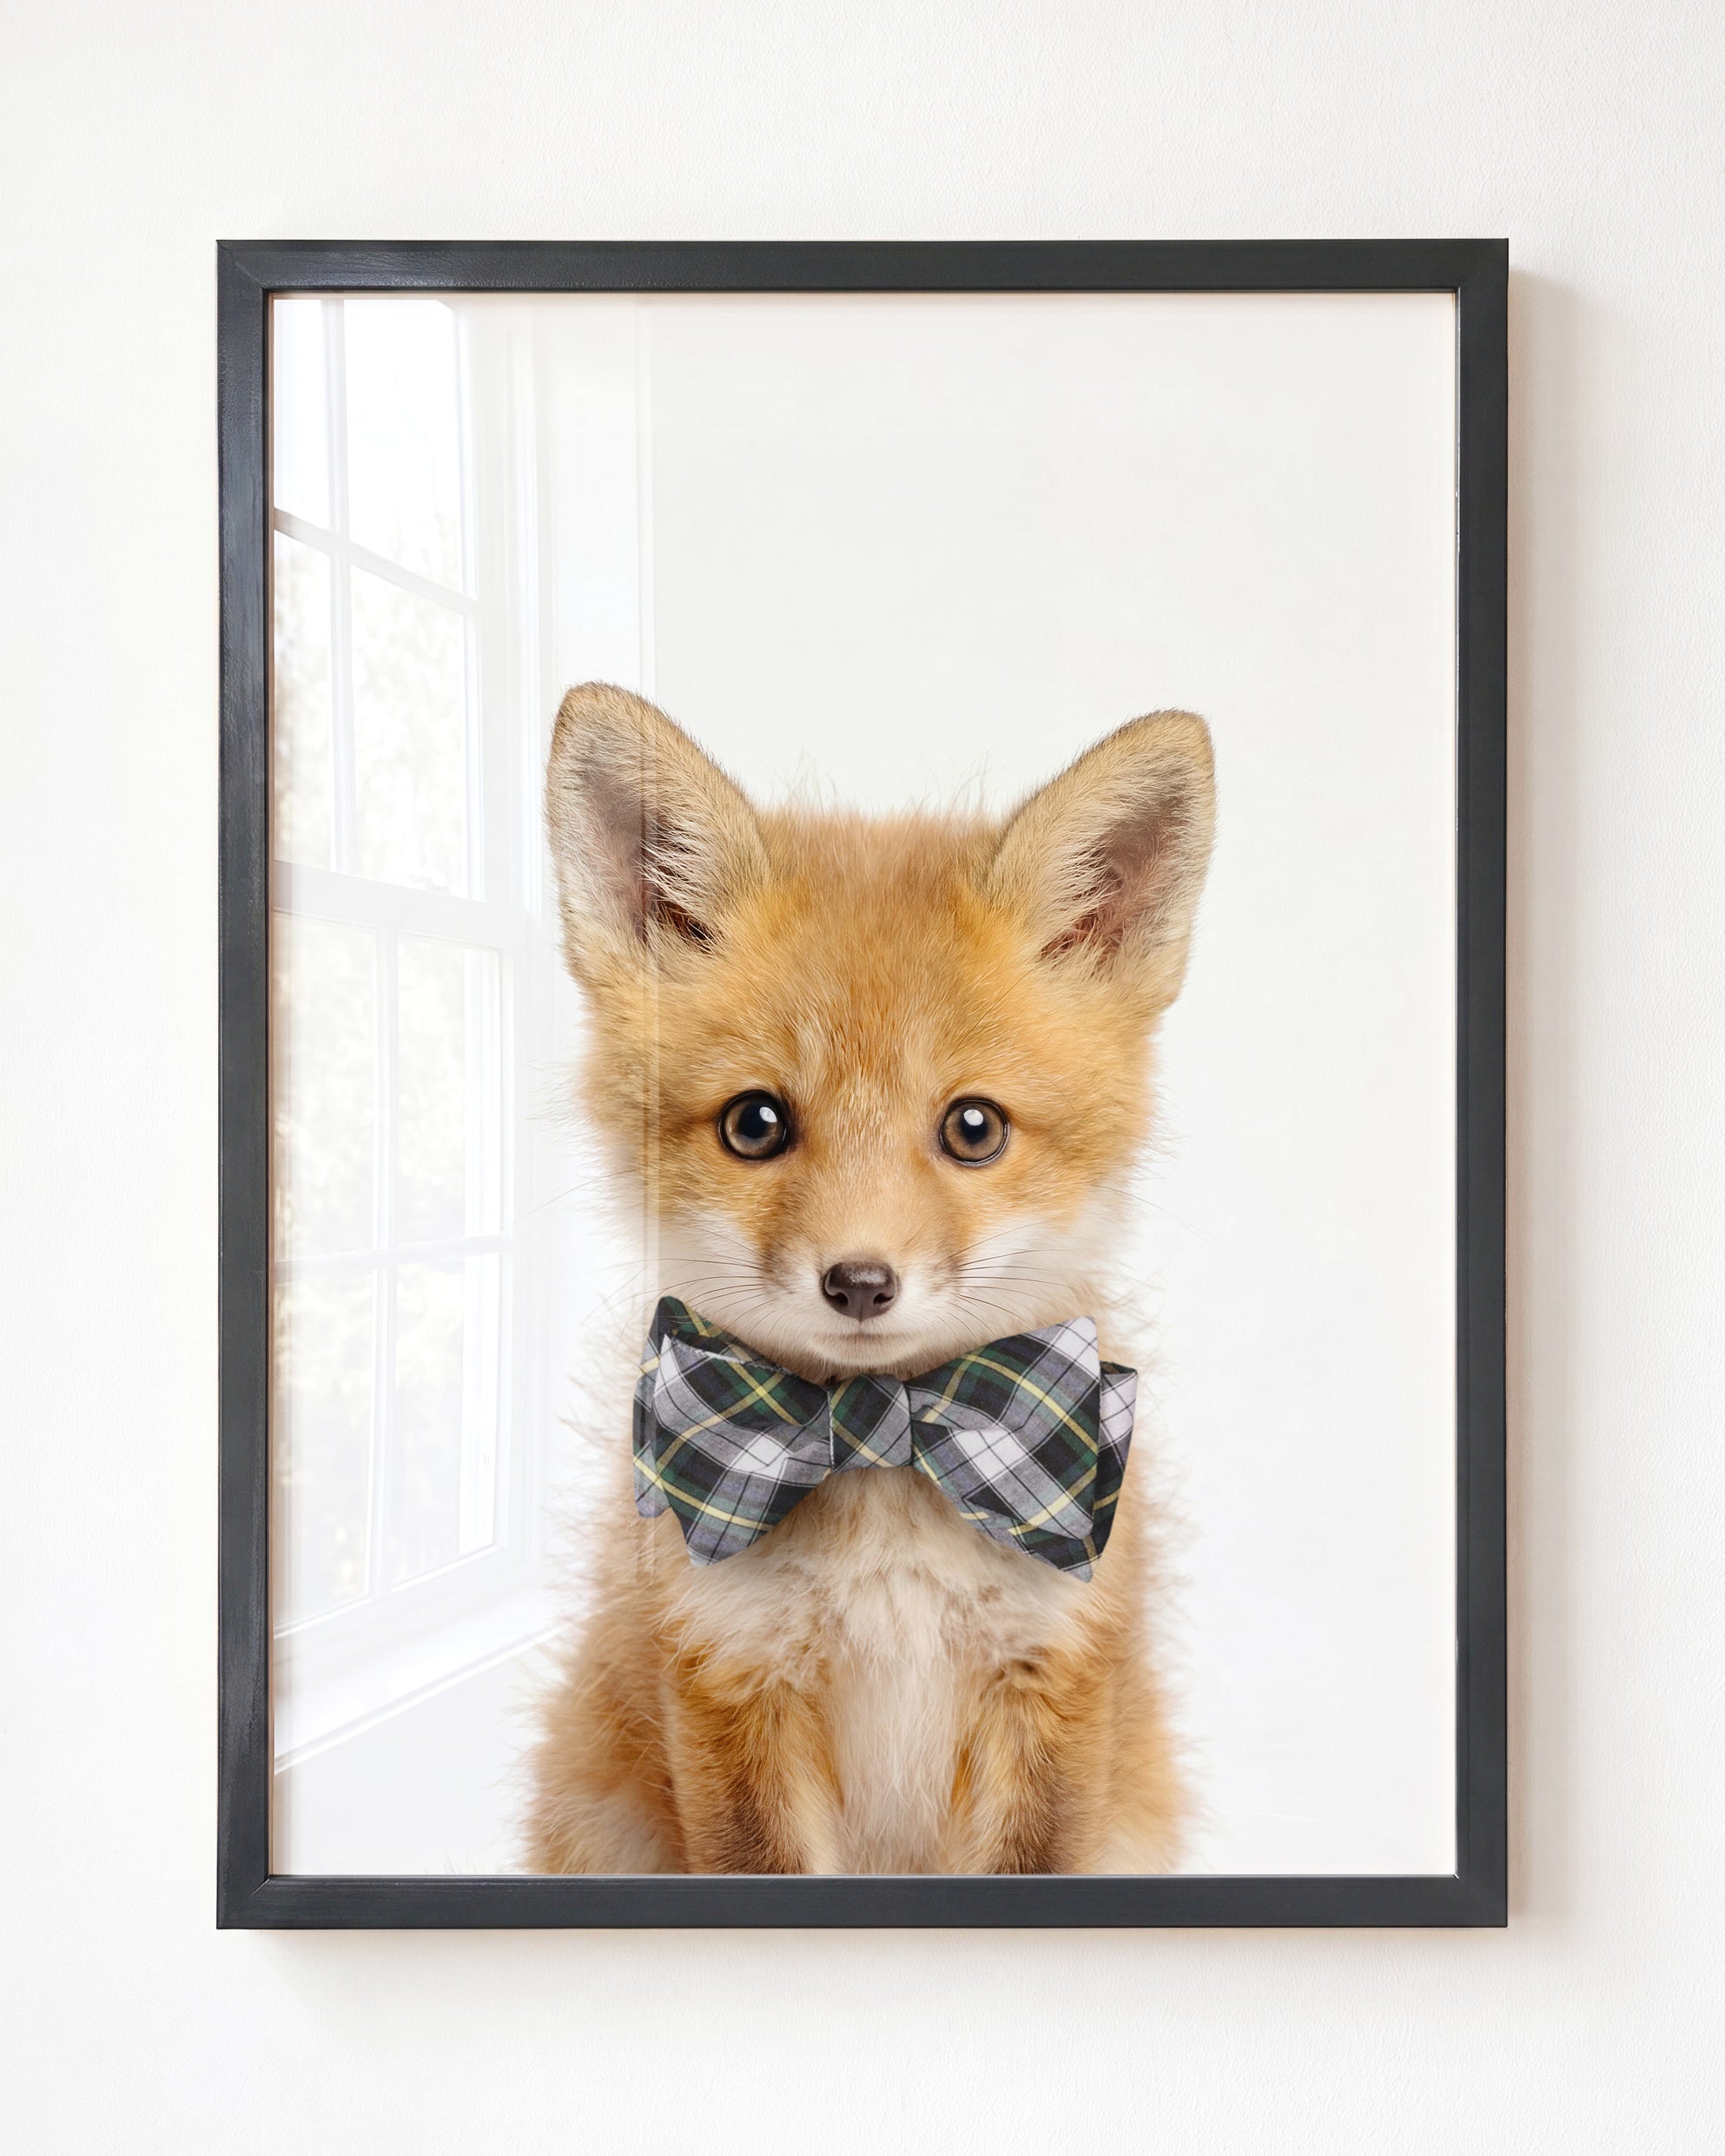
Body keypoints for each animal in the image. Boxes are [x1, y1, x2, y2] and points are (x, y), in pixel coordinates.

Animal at [523, 682, 1215, 1875]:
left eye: (974, 1128)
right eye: (755, 1123)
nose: (858, 1282)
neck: (886, 1445)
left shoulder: (1052, 1681)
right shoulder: (729, 1676)